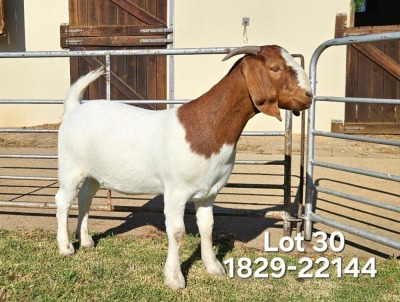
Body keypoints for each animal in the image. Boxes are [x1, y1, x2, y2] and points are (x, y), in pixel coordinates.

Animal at [55, 44, 312, 288]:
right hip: (70, 167)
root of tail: (74, 108)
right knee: (63, 200)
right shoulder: (175, 191)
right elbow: (177, 233)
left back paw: (86, 241)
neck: (206, 126)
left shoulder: (209, 192)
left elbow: (207, 227)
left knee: (85, 198)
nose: (308, 96)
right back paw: (66, 247)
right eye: (275, 68)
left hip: (93, 174)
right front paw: (174, 278)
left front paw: (214, 267)